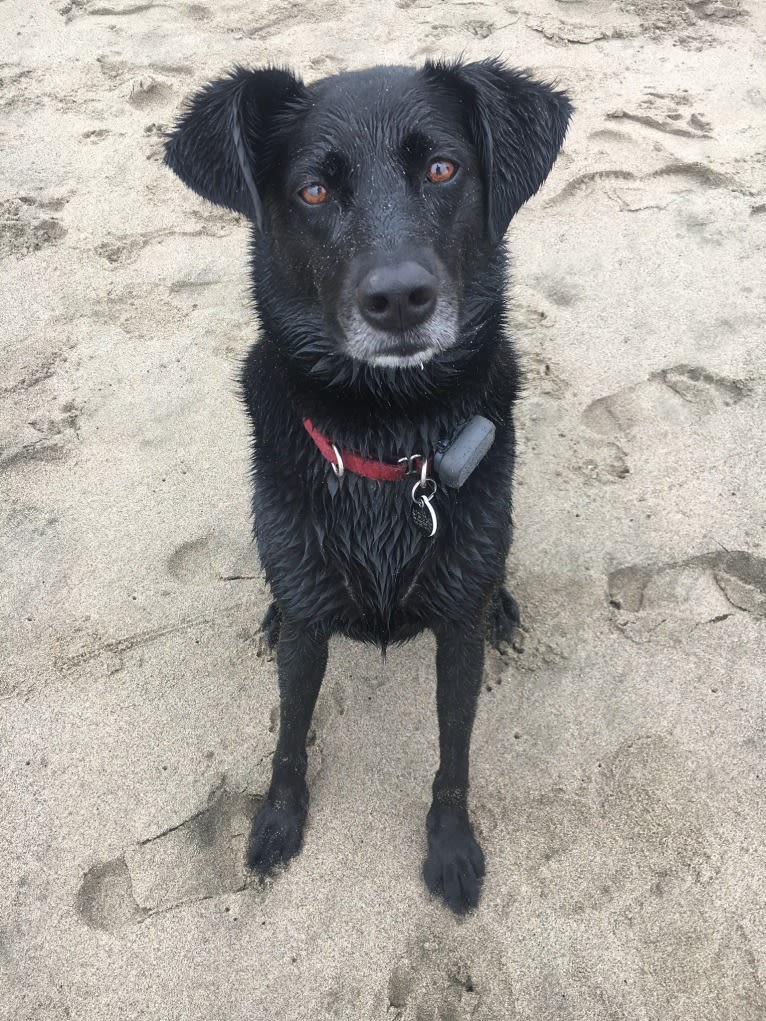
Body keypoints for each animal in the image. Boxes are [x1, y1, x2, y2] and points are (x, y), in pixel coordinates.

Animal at [167, 59, 571, 914]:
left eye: (443, 169)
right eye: (314, 191)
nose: (397, 300)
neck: (388, 441)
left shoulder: (456, 633)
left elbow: (454, 752)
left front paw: (450, 846)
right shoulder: (307, 622)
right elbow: (290, 734)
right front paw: (278, 819)